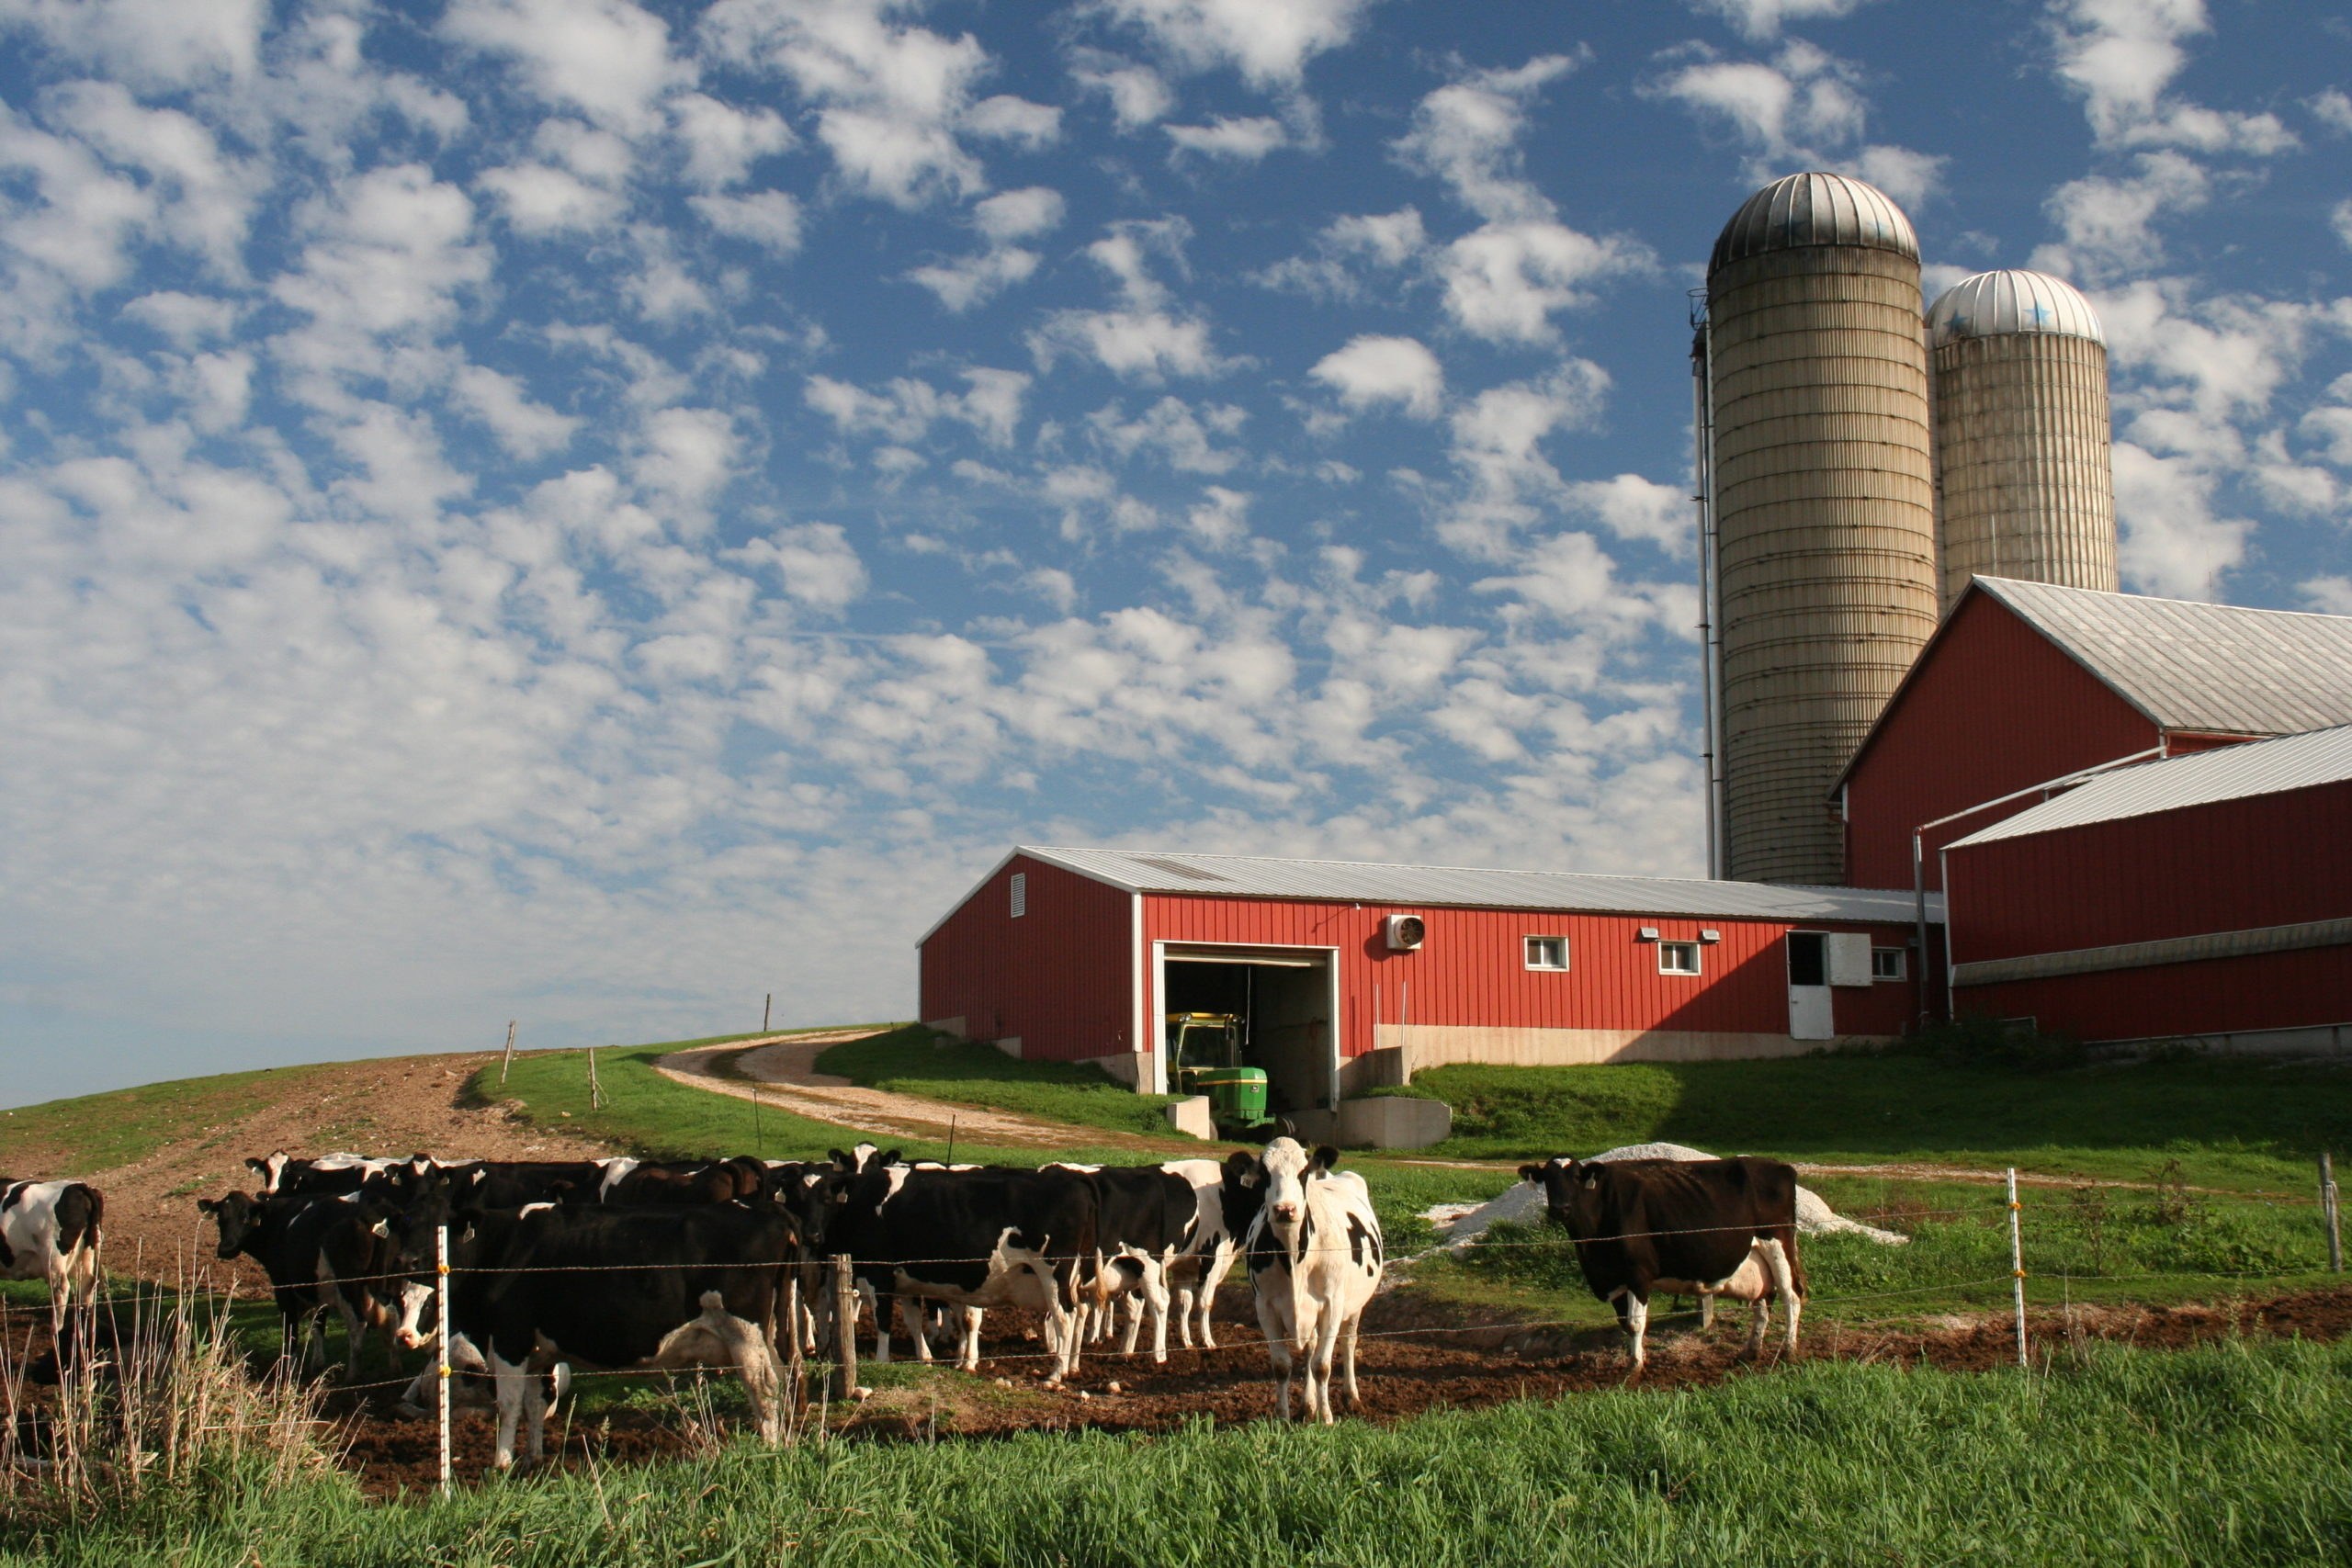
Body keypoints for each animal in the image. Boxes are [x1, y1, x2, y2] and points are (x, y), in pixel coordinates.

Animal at [439, 1203, 799, 1476]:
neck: (503, 1247)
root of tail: (771, 1212)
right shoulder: (539, 1350)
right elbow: (536, 1402)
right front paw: (532, 1462)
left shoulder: (509, 1338)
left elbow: (508, 1405)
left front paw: (500, 1466)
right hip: (769, 1334)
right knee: (781, 1381)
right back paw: (782, 1442)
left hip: (744, 1332)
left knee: (763, 1388)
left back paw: (769, 1448)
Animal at [1241, 1142, 1383, 1419]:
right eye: (1264, 1173)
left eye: (1304, 1172)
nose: (1285, 1209)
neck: (1294, 1258)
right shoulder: (1264, 1306)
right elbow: (1282, 1366)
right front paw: (1283, 1417)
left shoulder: (1332, 1304)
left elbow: (1322, 1365)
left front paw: (1326, 1417)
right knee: (1311, 1346)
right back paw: (1308, 1406)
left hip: (1354, 1305)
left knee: (1348, 1343)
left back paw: (1350, 1397)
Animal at [1514, 1152, 1806, 1372]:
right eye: (1547, 1180)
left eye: (1576, 1177)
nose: (1559, 1209)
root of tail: (1781, 1166)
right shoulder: (1615, 1278)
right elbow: (1625, 1323)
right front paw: (1633, 1361)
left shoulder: (1638, 1274)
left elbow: (1636, 1323)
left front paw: (1635, 1368)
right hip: (1757, 1259)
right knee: (1763, 1302)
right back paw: (1751, 1351)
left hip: (1778, 1242)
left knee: (1791, 1296)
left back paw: (1789, 1351)